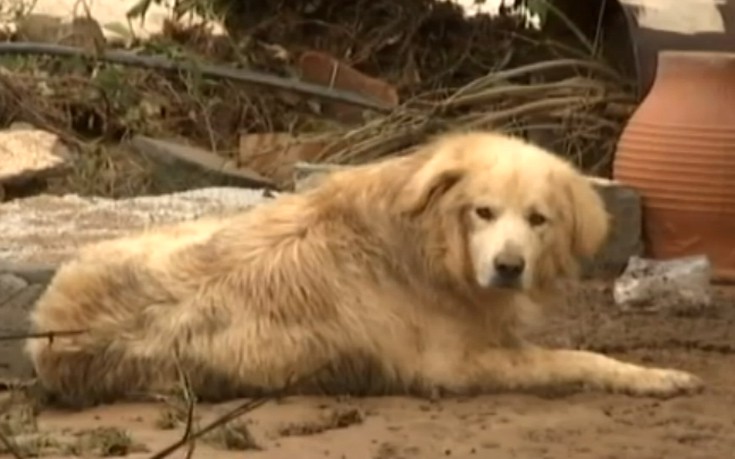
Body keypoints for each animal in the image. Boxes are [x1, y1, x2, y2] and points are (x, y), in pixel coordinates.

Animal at [25, 129, 704, 406]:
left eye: (538, 219)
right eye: (483, 212)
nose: (509, 267)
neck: (429, 244)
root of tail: (45, 332)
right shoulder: (453, 367)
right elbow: (575, 358)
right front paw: (653, 376)